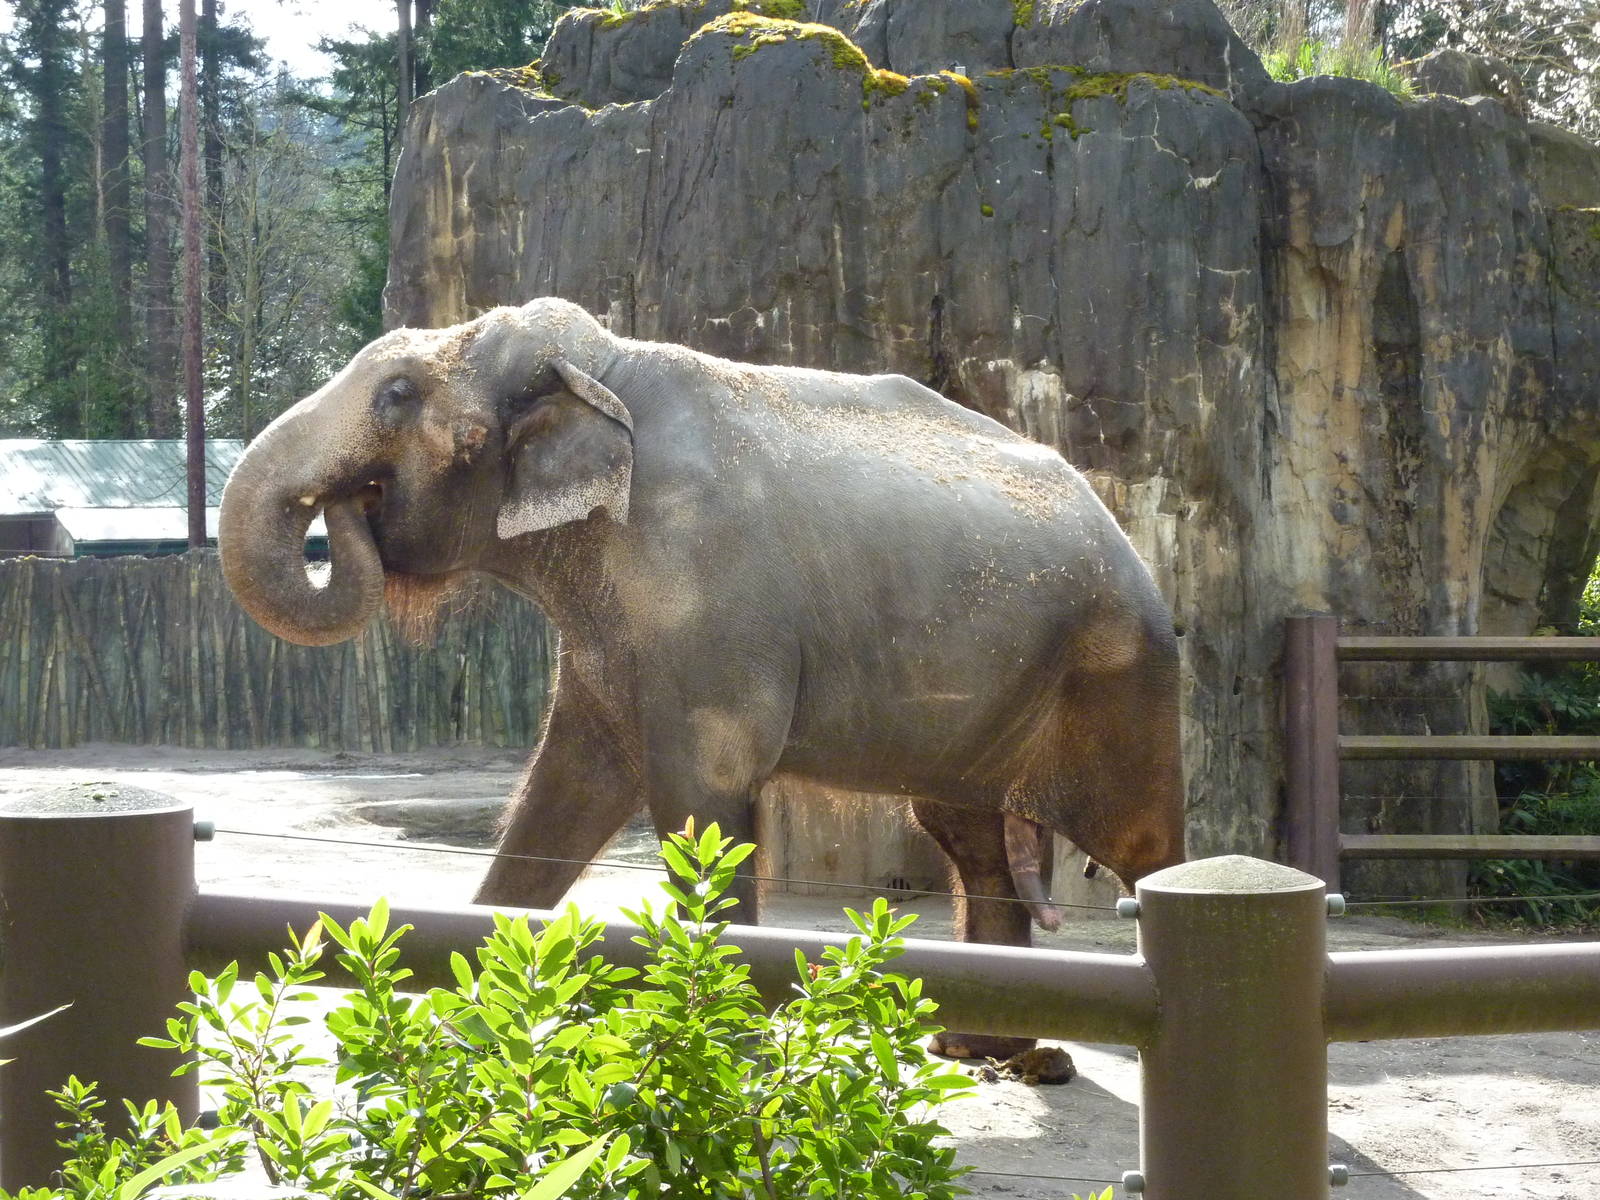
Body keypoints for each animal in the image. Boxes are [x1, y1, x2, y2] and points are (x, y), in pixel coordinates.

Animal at [219, 297, 1186, 1059]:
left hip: (1123, 676)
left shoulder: (708, 601)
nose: (347, 507)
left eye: (397, 395)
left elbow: (701, 801)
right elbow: (562, 793)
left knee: (1142, 848)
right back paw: (981, 1049)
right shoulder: (612, 636)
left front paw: (718, 1055)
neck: (603, 365)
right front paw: (467, 1029)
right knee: (968, 836)